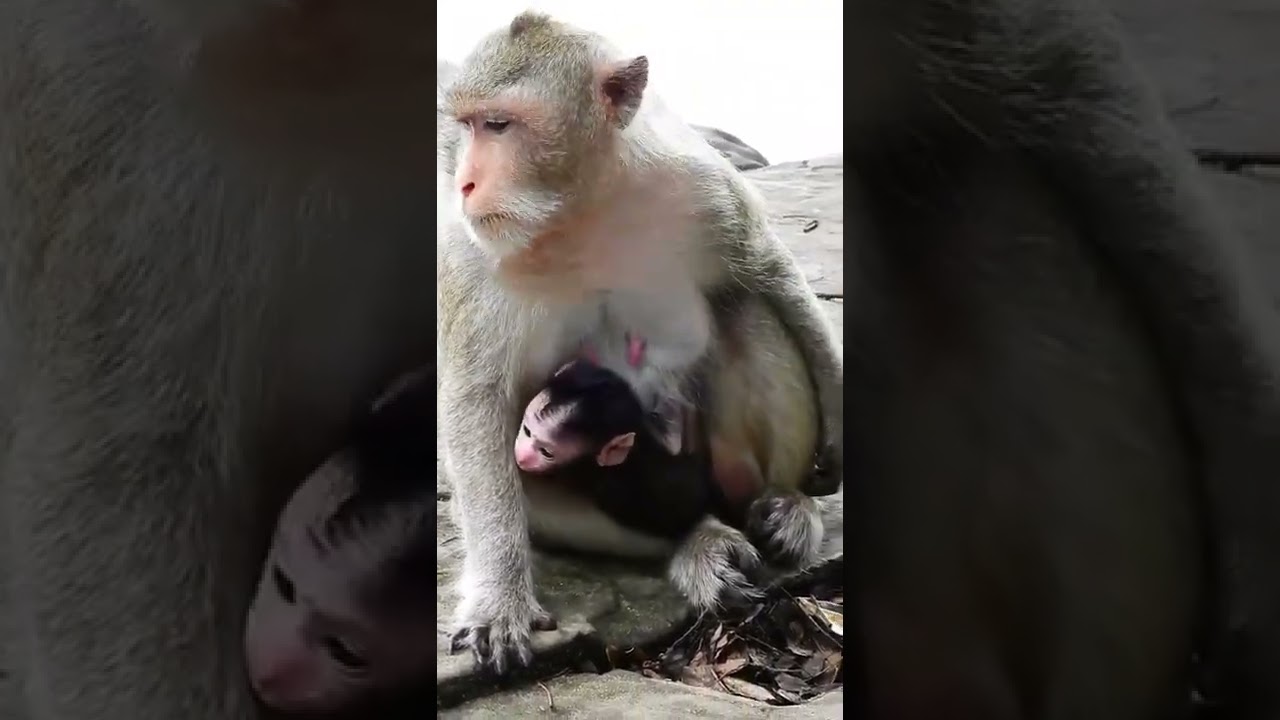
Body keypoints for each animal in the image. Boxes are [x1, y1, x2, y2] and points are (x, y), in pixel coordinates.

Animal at [436, 12, 844, 675]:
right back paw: (695, 541)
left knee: (744, 306)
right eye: (465, 126)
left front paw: (835, 442)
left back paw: (783, 506)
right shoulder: (471, 252)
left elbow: (768, 272)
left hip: (725, 464)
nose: (467, 181)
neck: (575, 206)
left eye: (497, 124)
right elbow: (475, 402)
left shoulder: (702, 186)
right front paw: (499, 599)